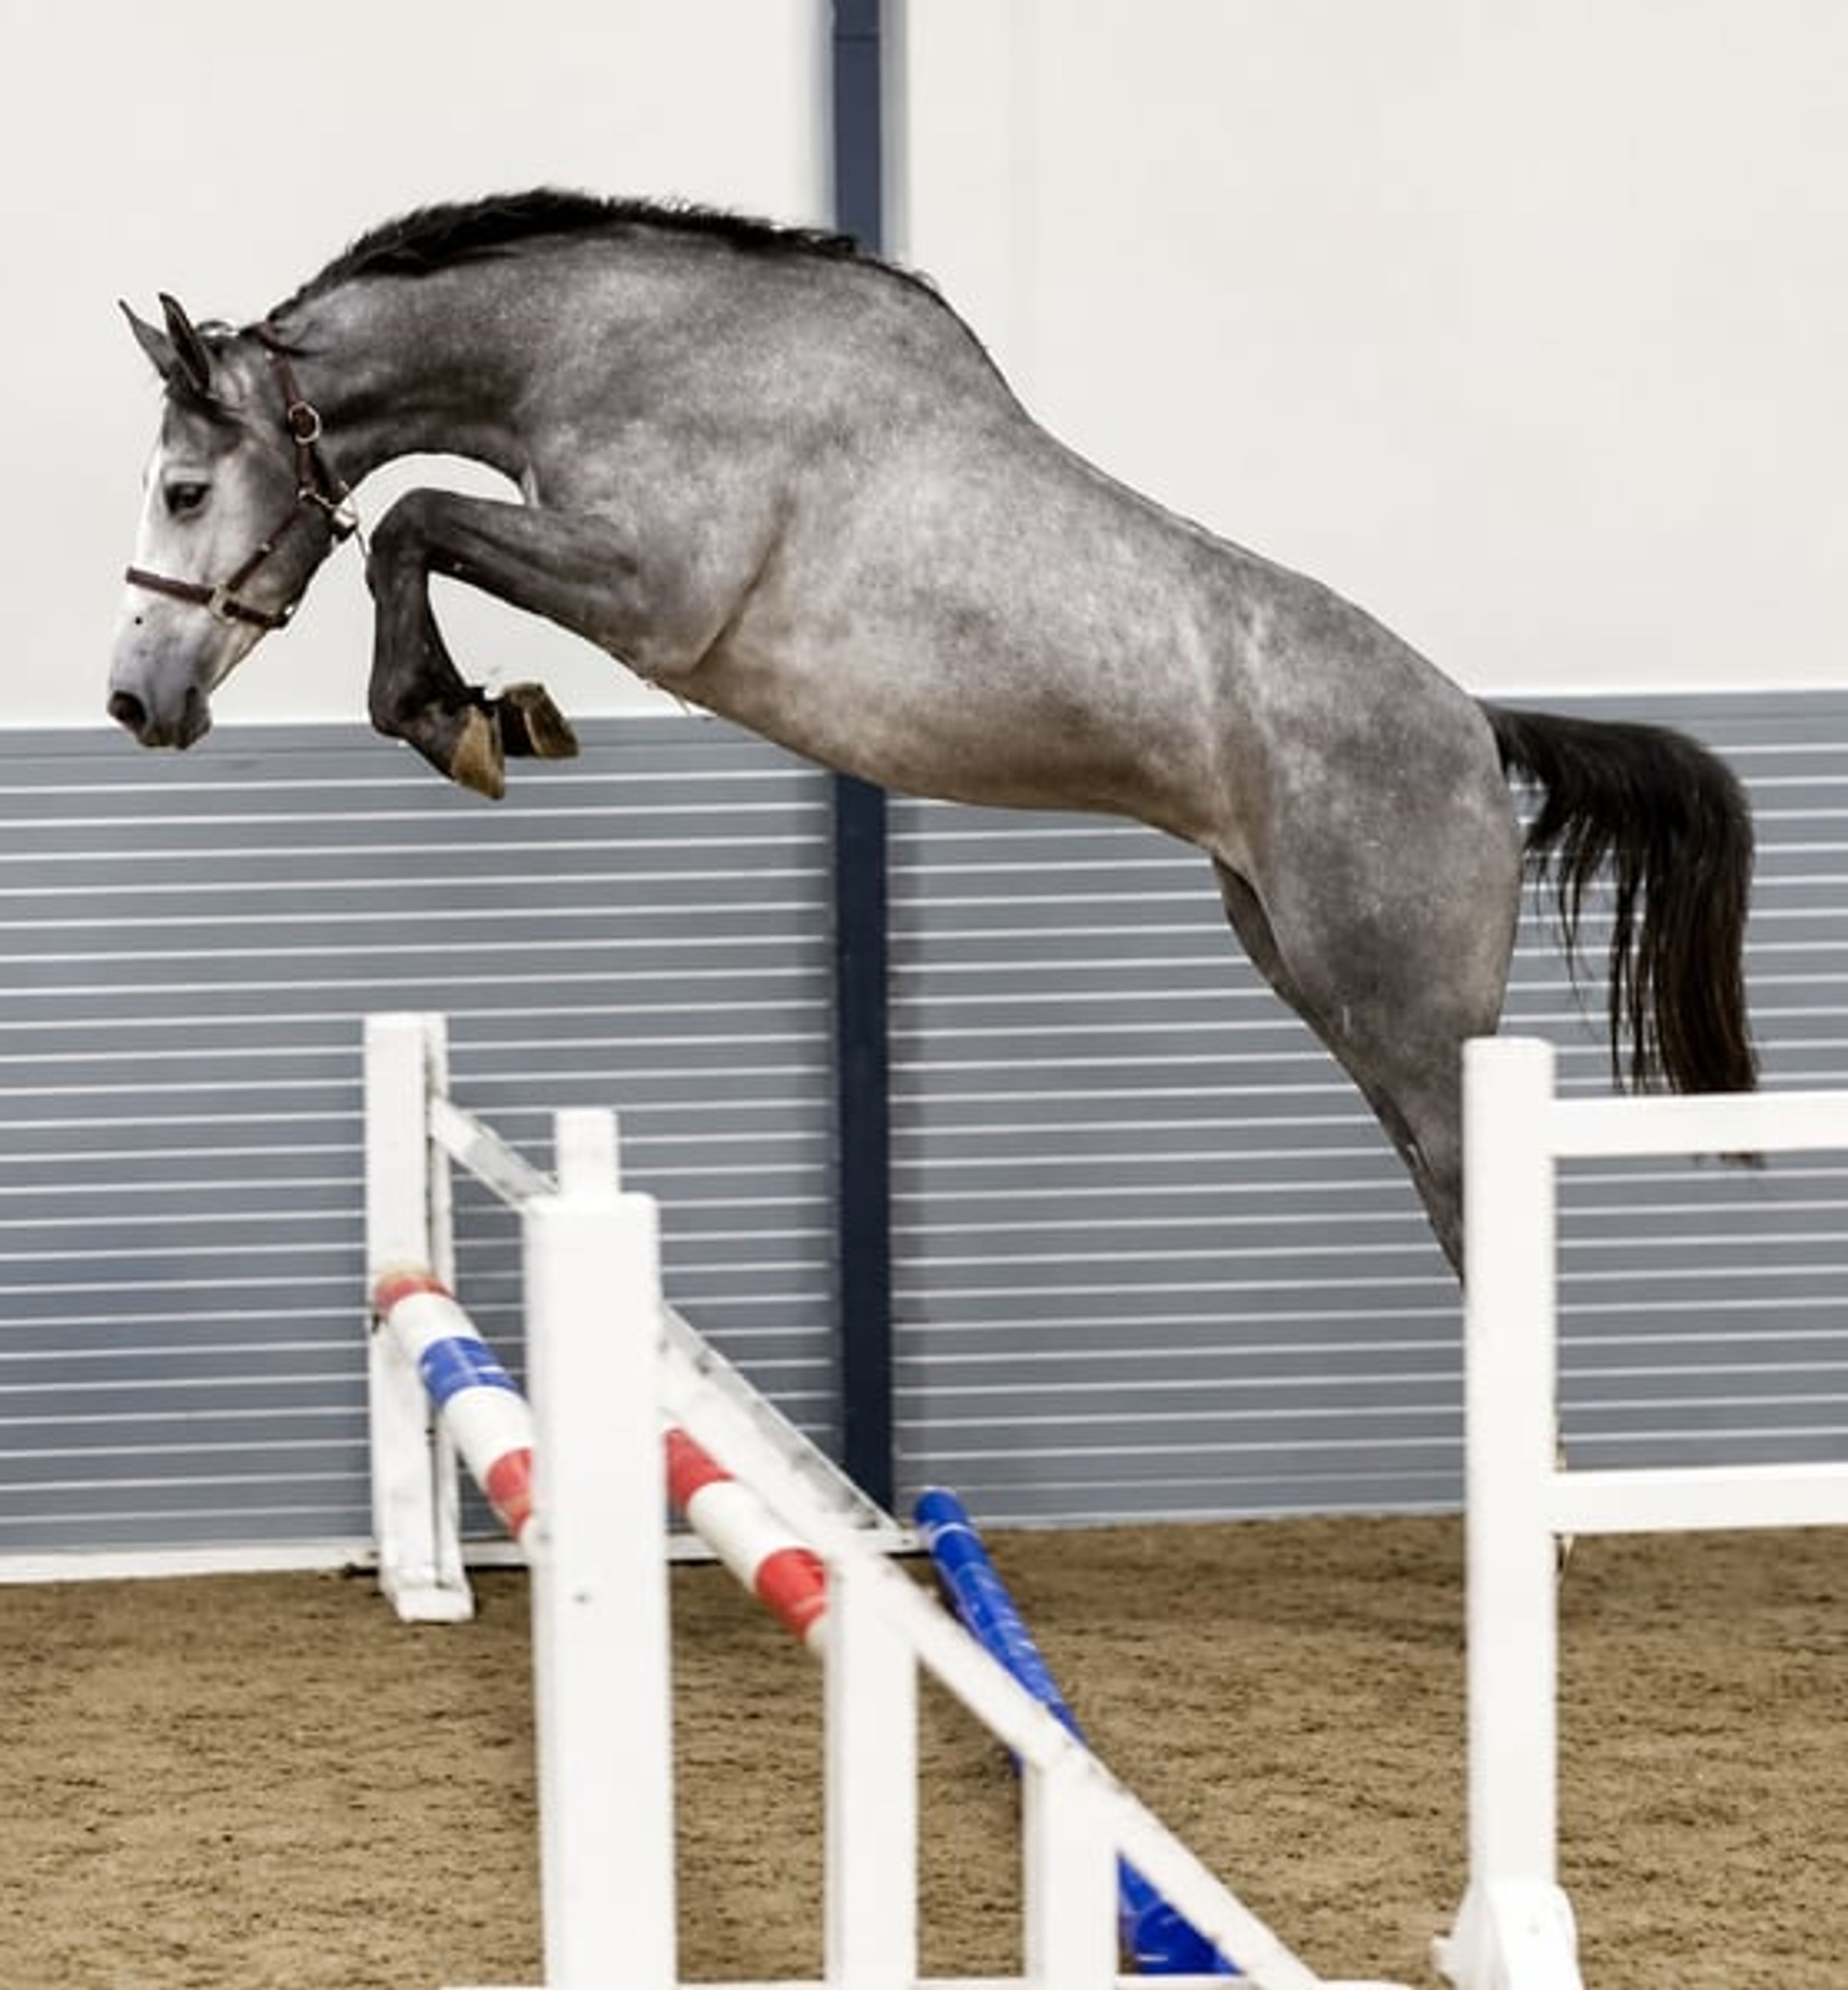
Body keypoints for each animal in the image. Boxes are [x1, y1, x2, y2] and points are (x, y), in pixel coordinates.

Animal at [109, 191, 1756, 1276]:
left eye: (185, 490)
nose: (137, 699)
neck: (616, 346)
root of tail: (1473, 725)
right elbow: (417, 529)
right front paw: (481, 712)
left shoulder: (652, 594)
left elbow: (409, 525)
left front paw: (459, 716)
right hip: (1316, 982)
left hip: (1405, 1019)